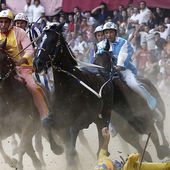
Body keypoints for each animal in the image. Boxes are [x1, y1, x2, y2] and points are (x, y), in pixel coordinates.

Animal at [33, 23, 113, 169]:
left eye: (53, 40)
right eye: (39, 40)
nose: (37, 63)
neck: (67, 89)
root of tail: (104, 71)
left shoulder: (82, 119)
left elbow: (73, 136)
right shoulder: (59, 121)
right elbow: (46, 122)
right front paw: (57, 148)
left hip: (104, 116)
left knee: (101, 142)